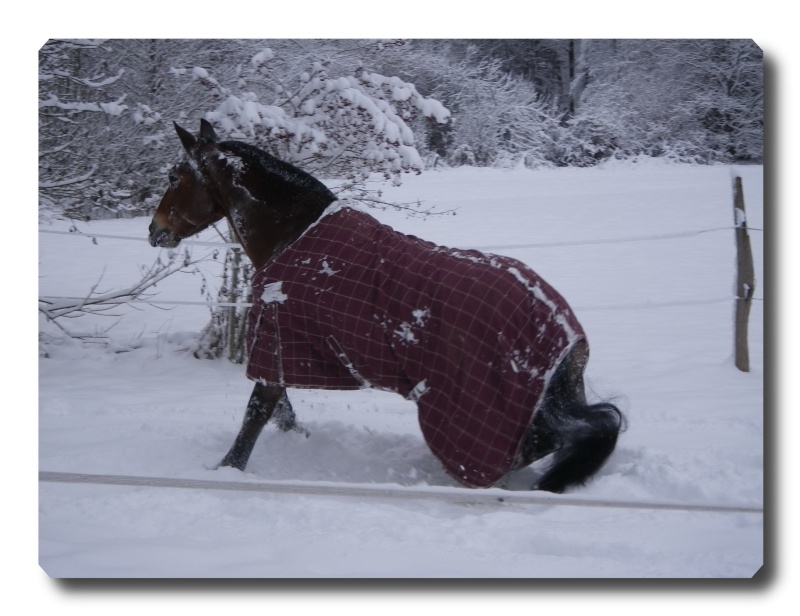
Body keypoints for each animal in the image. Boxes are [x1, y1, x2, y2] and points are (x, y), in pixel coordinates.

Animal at [150, 120, 624, 494]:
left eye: (175, 175)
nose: (155, 231)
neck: (294, 236)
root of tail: (566, 330)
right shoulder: (285, 347)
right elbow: (279, 406)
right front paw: (298, 439)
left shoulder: (276, 340)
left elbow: (257, 413)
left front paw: (226, 470)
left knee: (550, 441)